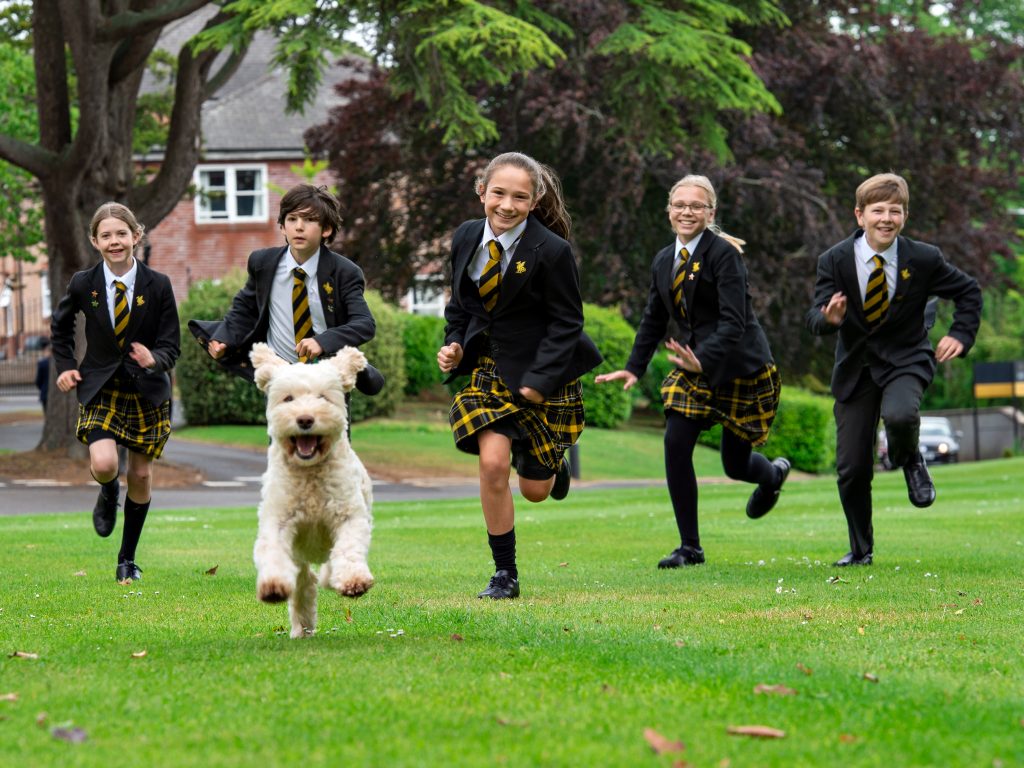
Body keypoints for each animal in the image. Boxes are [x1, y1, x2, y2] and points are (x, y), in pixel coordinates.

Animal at [248, 342, 374, 638]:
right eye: (288, 399)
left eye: (323, 397)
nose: (305, 419)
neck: (309, 472)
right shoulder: (278, 518)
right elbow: (272, 548)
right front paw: (272, 585)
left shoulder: (349, 515)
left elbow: (349, 547)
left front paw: (353, 579)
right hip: (300, 559)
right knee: (304, 586)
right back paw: (301, 628)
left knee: (326, 569)